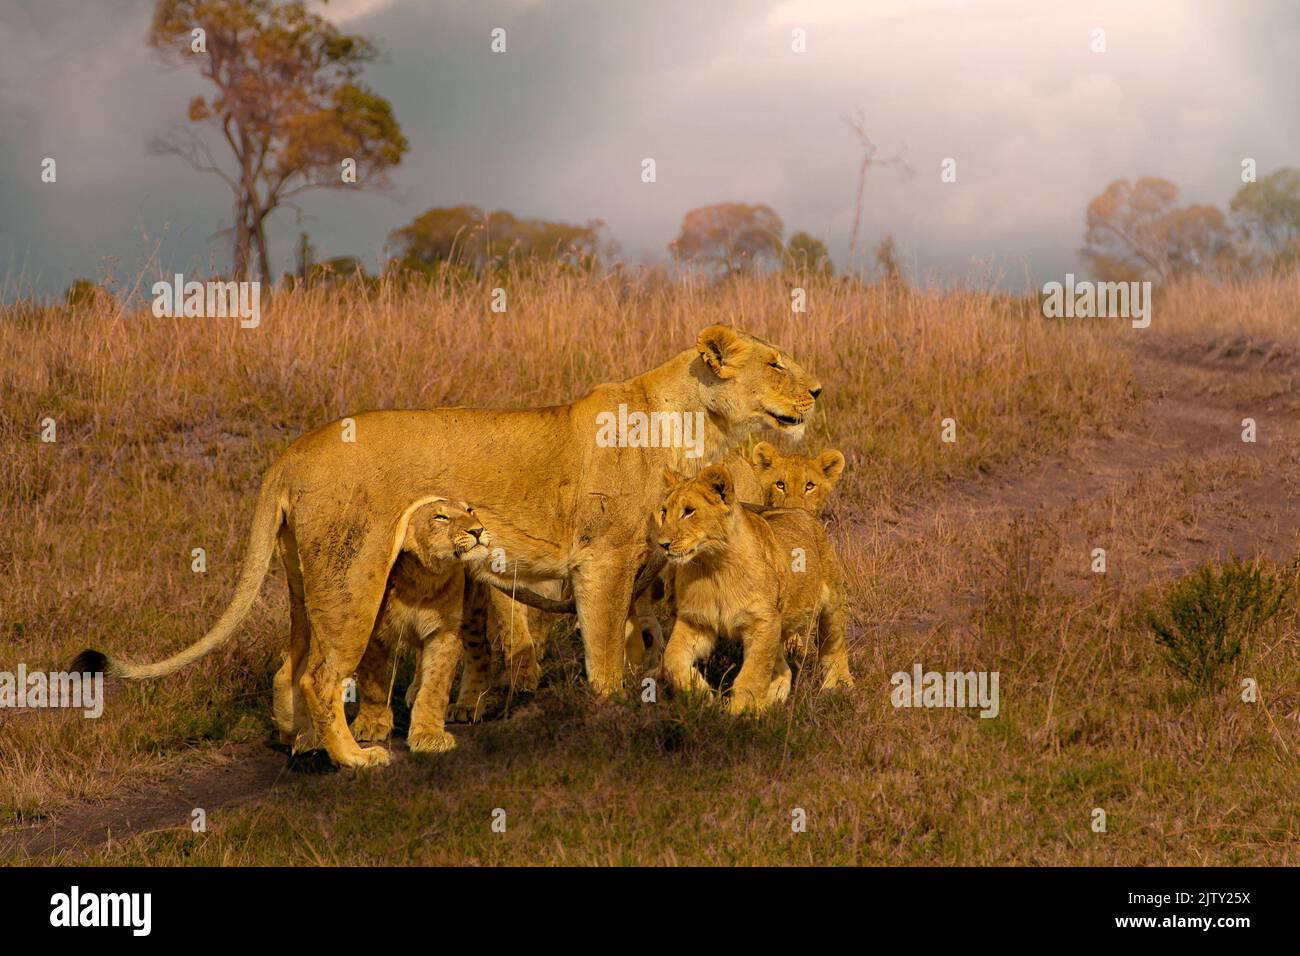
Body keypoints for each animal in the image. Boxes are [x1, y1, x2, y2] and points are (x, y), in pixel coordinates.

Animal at [74, 324, 822, 767]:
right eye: (775, 363)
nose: (816, 390)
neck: (695, 424)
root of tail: (290, 453)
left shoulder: (641, 567)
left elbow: (642, 642)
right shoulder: (603, 559)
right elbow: (607, 648)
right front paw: (611, 711)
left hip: (304, 584)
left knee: (289, 668)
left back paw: (303, 745)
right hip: (354, 576)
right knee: (321, 673)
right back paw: (354, 758)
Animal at [657, 464, 853, 714]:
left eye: (689, 511)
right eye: (664, 512)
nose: (662, 544)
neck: (713, 567)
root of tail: (801, 511)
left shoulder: (763, 621)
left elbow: (752, 675)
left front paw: (740, 716)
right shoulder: (696, 620)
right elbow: (671, 660)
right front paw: (703, 696)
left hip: (831, 602)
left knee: (834, 645)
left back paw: (839, 687)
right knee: (784, 669)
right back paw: (771, 704)